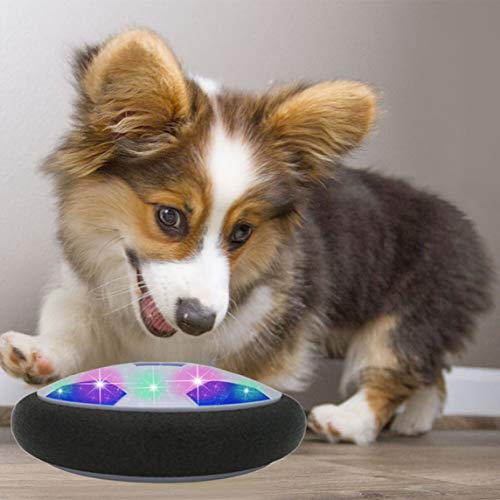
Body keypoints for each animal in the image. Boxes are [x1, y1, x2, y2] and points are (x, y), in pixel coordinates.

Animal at [0, 29, 492, 444]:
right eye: (169, 217)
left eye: (242, 232)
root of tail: (469, 233)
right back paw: (417, 420)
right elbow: (70, 328)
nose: (198, 321)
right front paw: (37, 353)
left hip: (405, 319)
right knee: (431, 372)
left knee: (393, 372)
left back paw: (348, 421)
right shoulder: (83, 295)